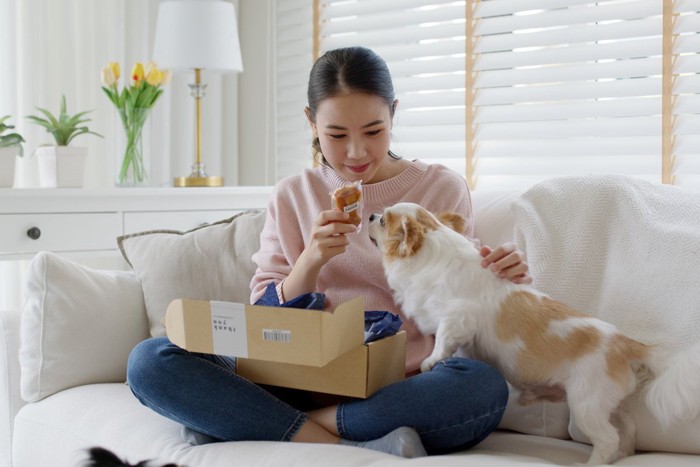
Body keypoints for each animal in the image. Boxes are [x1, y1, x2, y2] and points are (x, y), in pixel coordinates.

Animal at [366, 203, 700, 466]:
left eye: (383, 221)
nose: (369, 214)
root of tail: (625, 342)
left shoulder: (457, 317)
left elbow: (444, 341)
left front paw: (432, 361)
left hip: (586, 405)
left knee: (607, 439)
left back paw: (591, 463)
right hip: (610, 404)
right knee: (627, 429)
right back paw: (623, 456)